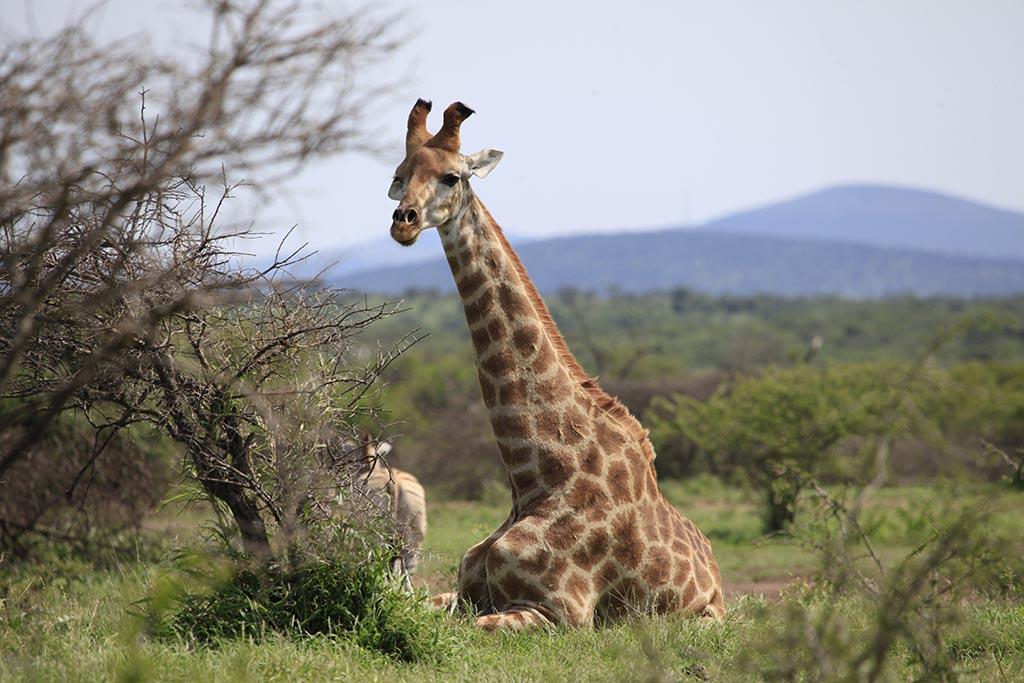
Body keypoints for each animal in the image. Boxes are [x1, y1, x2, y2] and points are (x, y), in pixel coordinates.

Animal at [387, 99, 725, 630]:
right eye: (399, 176)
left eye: (451, 176)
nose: (404, 220)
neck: (536, 476)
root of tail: (715, 566)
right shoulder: (463, 595)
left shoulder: (559, 613)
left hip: (702, 618)